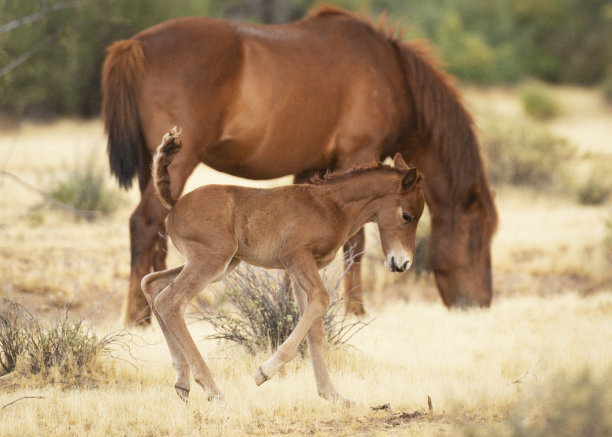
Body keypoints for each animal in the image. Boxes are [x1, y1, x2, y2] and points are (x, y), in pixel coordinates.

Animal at [101, 4, 498, 324]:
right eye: (476, 238)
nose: (481, 303)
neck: (393, 73)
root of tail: (134, 45)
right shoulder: (359, 154)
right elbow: (356, 243)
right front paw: (356, 310)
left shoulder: (313, 170)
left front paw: (290, 306)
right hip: (180, 160)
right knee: (143, 223)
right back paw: (136, 317)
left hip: (153, 166)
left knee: (159, 233)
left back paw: (151, 312)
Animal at [142, 129, 426, 402]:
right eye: (407, 216)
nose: (402, 263)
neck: (330, 206)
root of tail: (175, 203)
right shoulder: (296, 257)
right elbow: (321, 300)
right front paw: (264, 372)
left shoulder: (300, 269)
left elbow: (314, 327)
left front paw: (332, 395)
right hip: (211, 260)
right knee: (170, 302)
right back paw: (213, 390)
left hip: (220, 264)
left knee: (152, 285)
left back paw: (182, 382)